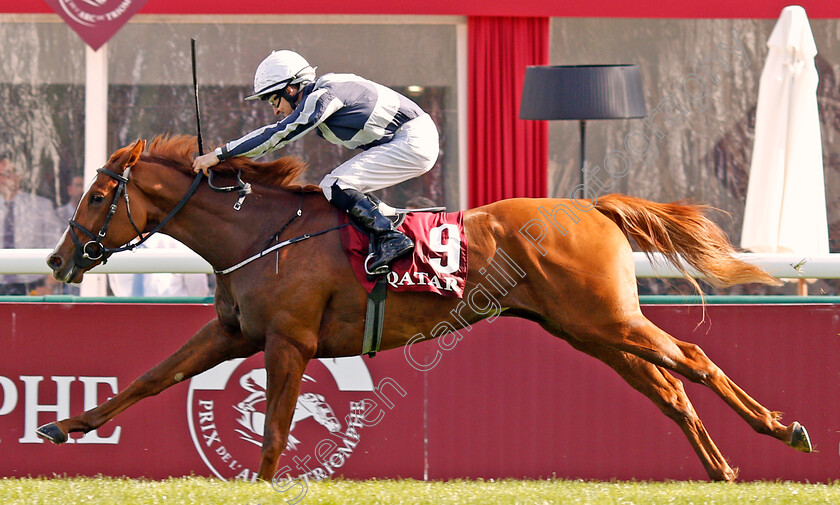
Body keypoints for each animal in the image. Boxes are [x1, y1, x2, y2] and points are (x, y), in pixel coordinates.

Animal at [41, 137, 812, 480]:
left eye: (97, 195)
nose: (57, 260)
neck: (258, 232)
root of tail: (592, 205)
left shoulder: (289, 341)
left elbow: (276, 430)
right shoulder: (232, 333)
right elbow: (151, 378)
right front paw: (64, 425)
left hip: (608, 320)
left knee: (695, 358)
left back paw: (783, 428)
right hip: (593, 330)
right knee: (669, 388)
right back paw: (721, 469)